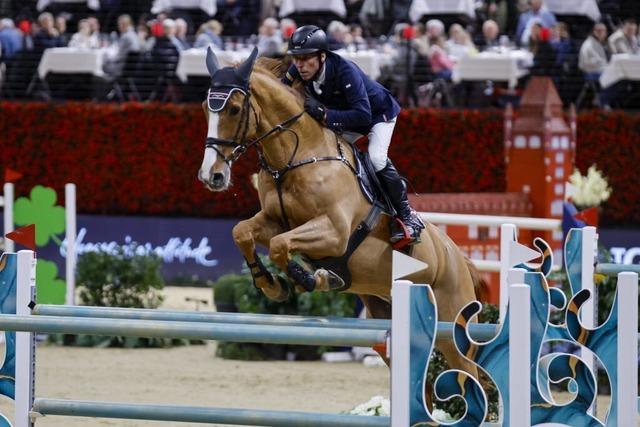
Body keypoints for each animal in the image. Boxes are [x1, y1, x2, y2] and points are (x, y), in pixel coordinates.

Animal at [199, 46, 480, 374]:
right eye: (205, 108)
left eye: (233, 109)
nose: (211, 176)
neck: (296, 156)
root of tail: (458, 257)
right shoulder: (274, 221)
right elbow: (242, 232)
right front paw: (272, 285)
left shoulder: (334, 232)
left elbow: (282, 246)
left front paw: (312, 278)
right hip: (383, 311)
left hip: (453, 324)